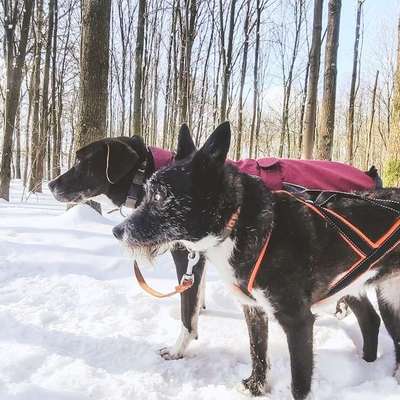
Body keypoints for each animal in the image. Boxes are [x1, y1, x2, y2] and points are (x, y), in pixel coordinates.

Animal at [111, 122, 400, 400]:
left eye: (161, 197)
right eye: (147, 193)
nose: (117, 231)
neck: (240, 224)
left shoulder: (297, 320)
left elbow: (299, 383)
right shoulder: (253, 309)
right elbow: (257, 353)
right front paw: (255, 387)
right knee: (373, 321)